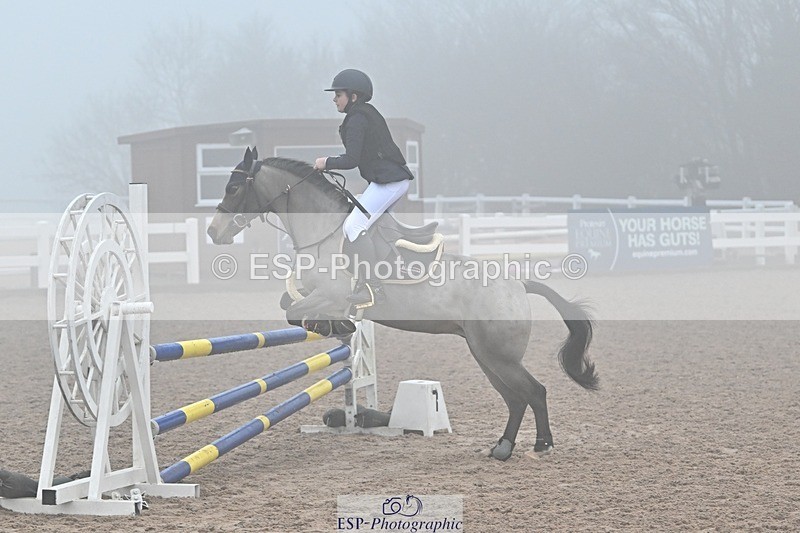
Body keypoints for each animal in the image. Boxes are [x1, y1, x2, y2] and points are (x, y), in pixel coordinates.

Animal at [207, 147, 599, 460]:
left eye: (233, 187)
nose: (213, 232)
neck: (324, 230)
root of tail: (519, 283)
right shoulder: (314, 291)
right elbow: (289, 303)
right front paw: (336, 325)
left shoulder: (331, 293)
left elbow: (295, 310)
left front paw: (332, 323)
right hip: (485, 355)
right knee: (516, 398)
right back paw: (503, 446)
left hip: (498, 355)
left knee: (533, 391)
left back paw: (540, 444)